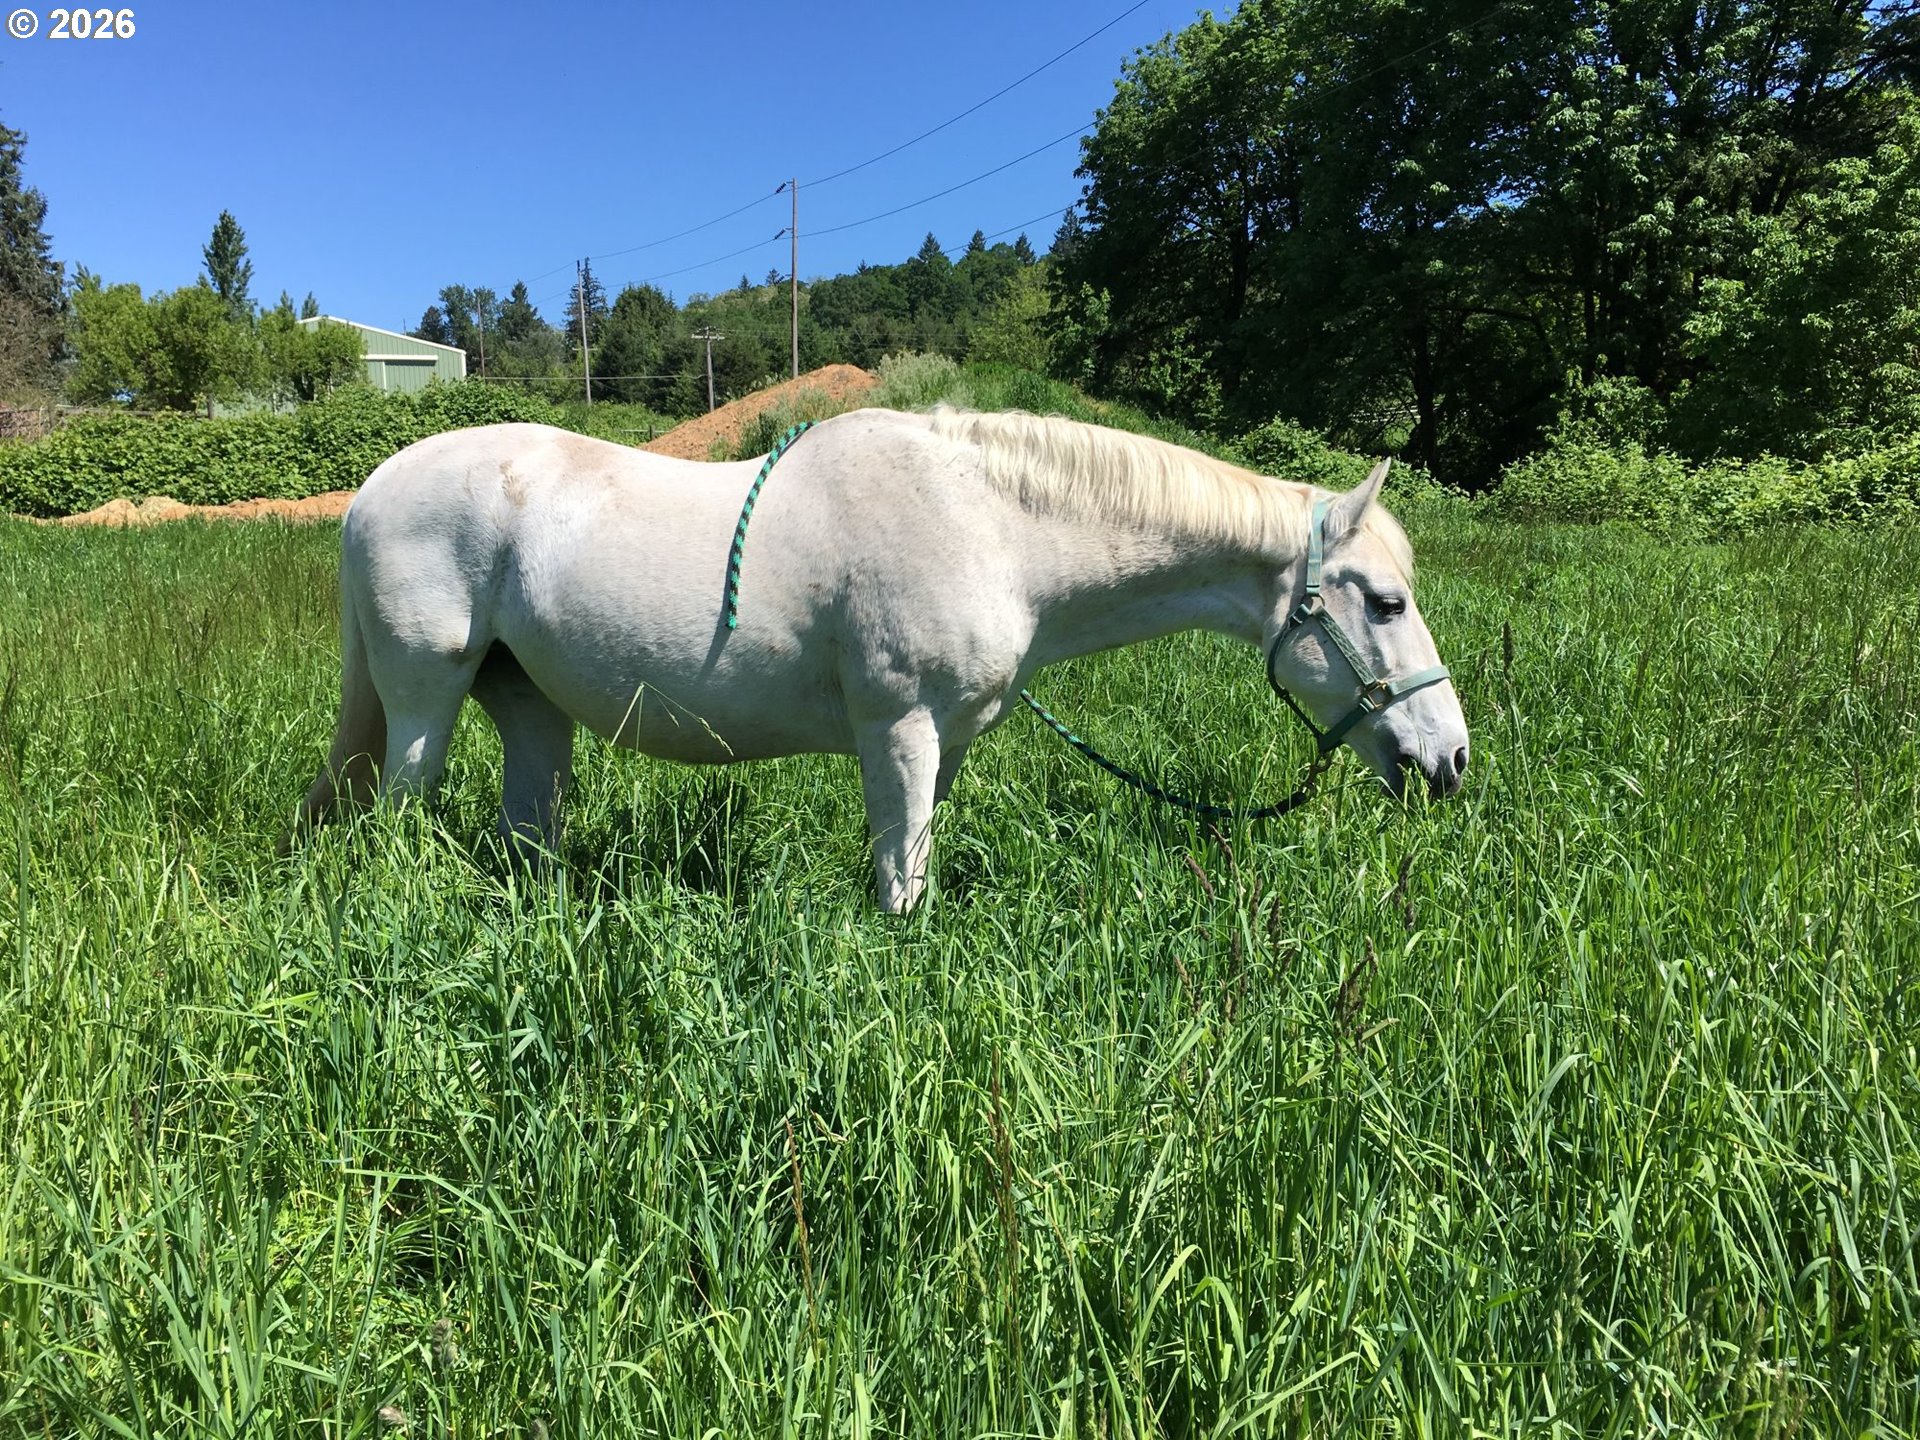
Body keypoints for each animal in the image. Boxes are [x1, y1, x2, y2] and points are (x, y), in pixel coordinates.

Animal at [297, 407, 1469, 911]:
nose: (1449, 758)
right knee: (399, 814)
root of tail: (368, 491)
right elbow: (901, 884)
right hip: (424, 701)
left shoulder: (942, 745)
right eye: (1387, 601)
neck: (990, 521)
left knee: (528, 828)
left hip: (529, 706)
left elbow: (911, 864)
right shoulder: (897, 730)